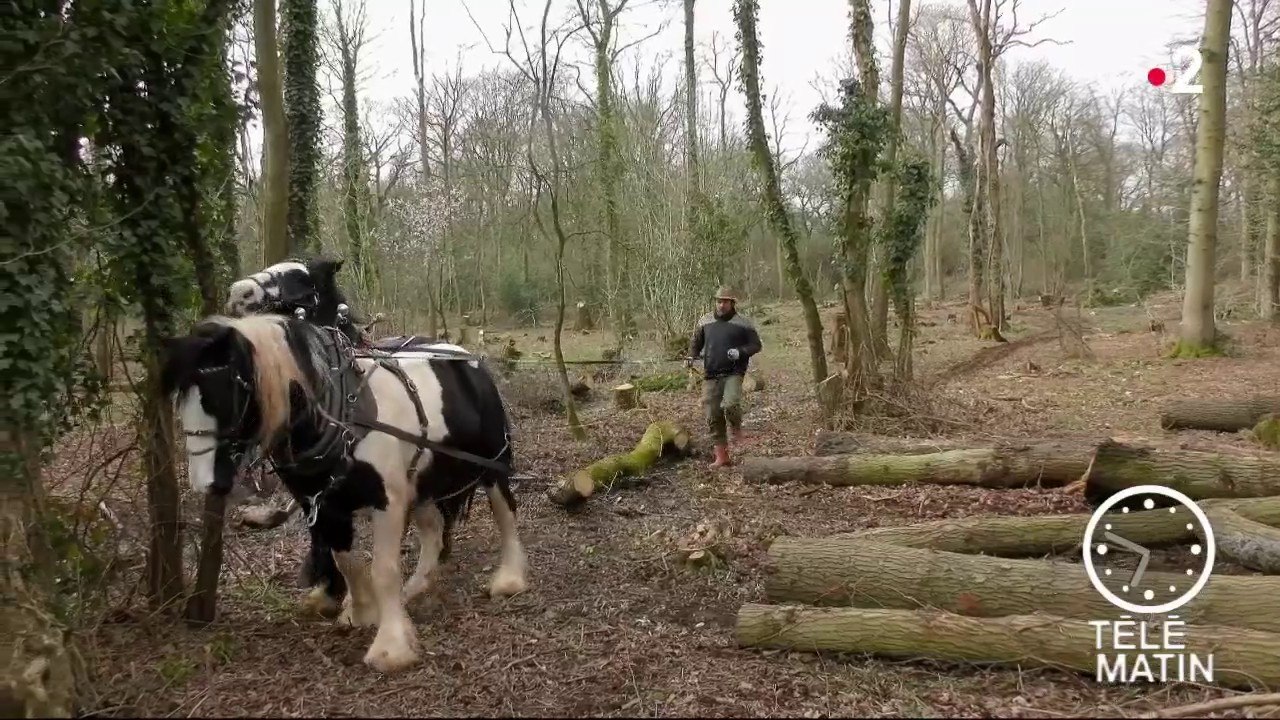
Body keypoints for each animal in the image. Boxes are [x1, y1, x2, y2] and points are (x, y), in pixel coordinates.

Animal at [161, 312, 528, 673]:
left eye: (226, 393)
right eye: (181, 399)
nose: (205, 482)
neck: (342, 417)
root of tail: (469, 358)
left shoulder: (387, 501)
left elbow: (383, 569)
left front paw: (392, 647)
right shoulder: (324, 504)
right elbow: (346, 560)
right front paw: (363, 611)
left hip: (492, 462)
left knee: (505, 511)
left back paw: (510, 579)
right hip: (421, 478)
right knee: (434, 529)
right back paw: (416, 587)